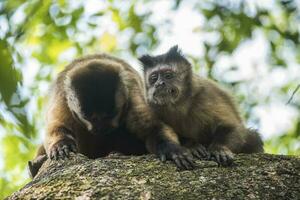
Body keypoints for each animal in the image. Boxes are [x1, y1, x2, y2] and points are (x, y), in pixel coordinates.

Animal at [29, 53, 196, 178]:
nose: (101, 128)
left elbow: (151, 127)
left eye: (110, 115)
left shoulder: (130, 87)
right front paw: (61, 144)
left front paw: (172, 149)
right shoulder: (62, 95)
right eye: (90, 118)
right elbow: (56, 126)